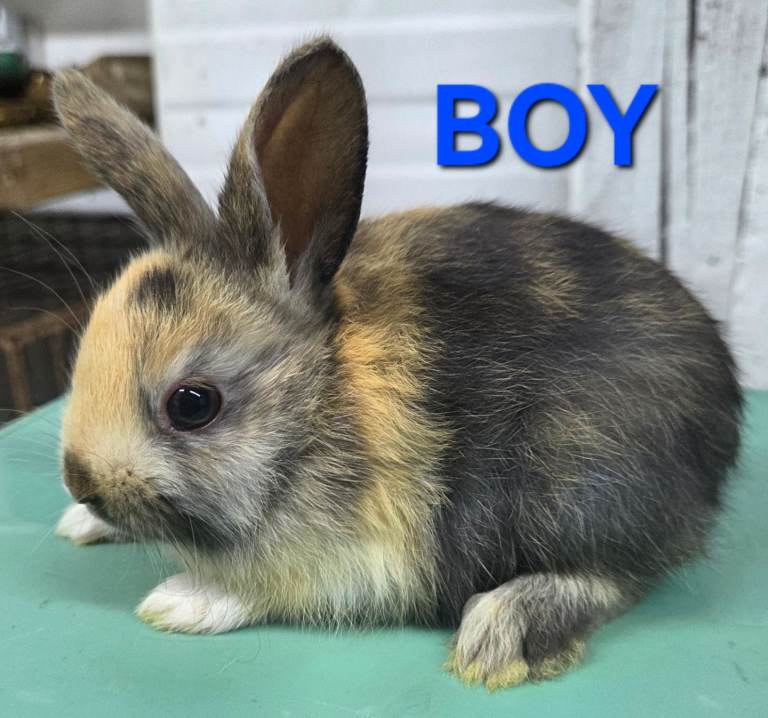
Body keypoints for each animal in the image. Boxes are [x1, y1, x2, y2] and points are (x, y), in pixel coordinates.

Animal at [52, 37, 742, 690]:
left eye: (193, 405)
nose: (80, 483)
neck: (318, 403)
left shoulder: (365, 561)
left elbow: (270, 587)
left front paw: (183, 601)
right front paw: (79, 525)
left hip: (585, 489)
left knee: (618, 575)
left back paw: (501, 632)